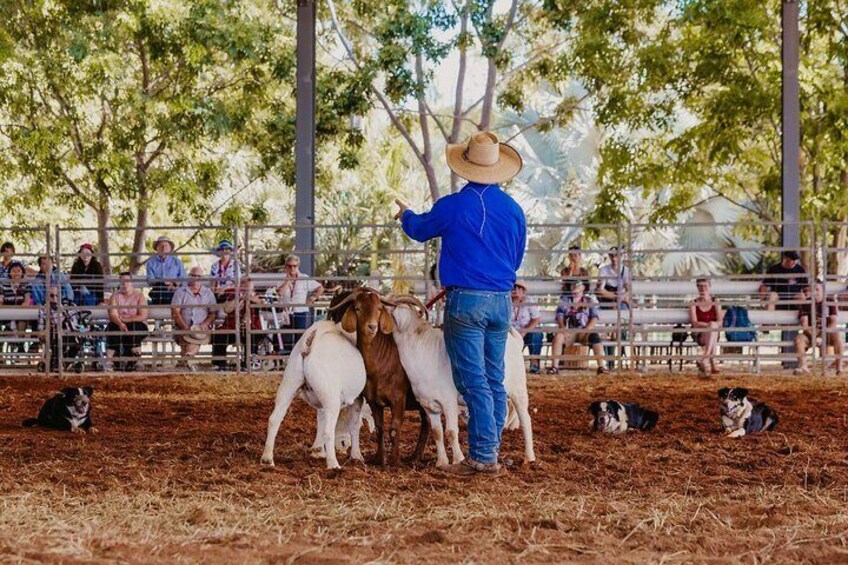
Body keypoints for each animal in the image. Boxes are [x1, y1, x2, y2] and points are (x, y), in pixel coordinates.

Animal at [258, 320, 364, 470]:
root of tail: (310, 341)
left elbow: (320, 419)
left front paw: (318, 451)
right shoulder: (358, 398)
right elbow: (354, 426)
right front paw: (356, 456)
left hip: (290, 381)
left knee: (274, 419)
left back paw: (267, 459)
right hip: (330, 395)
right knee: (328, 431)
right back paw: (334, 465)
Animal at [326, 288, 430, 464]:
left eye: (379, 309)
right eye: (358, 308)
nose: (372, 326)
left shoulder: (398, 398)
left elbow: (394, 427)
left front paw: (394, 461)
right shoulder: (373, 400)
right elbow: (380, 428)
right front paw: (380, 459)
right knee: (427, 422)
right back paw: (416, 456)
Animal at [390, 300, 536, 468]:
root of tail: (515, 340)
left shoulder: (449, 402)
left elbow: (451, 432)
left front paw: (458, 460)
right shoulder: (428, 404)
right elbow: (437, 433)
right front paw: (441, 462)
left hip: (519, 389)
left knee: (526, 420)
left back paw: (529, 457)